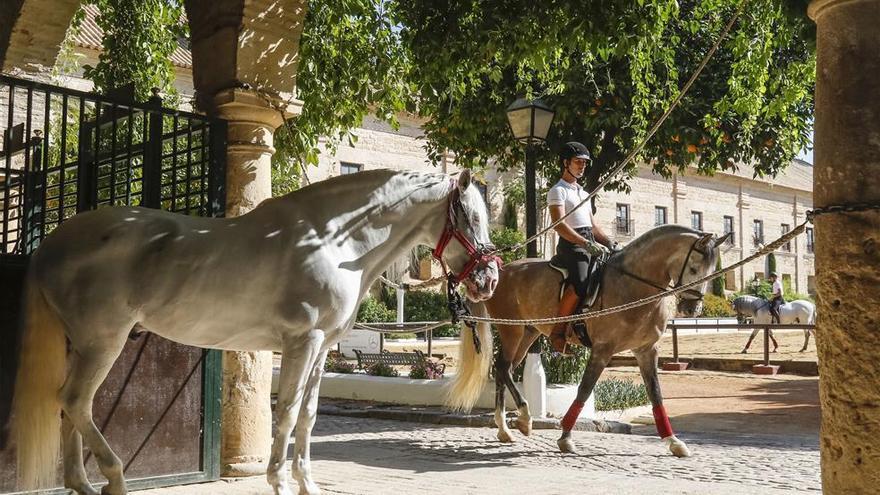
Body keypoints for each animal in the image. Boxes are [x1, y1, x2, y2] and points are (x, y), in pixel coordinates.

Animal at [5, 170, 502, 495]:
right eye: (471, 218)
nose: (490, 279)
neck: (335, 240)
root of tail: (53, 242)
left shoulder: (323, 348)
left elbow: (308, 416)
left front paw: (307, 484)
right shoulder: (302, 342)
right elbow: (284, 415)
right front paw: (279, 482)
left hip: (80, 344)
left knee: (70, 407)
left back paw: (82, 484)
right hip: (102, 341)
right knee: (75, 401)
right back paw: (114, 478)